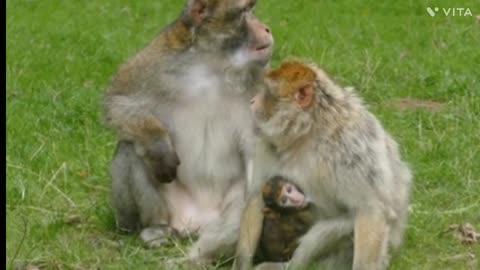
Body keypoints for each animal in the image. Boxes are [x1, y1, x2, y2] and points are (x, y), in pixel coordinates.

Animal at [102, 0, 272, 262]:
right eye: (246, 11)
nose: (266, 28)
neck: (213, 66)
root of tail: (195, 223)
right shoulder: (158, 58)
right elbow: (119, 101)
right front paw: (158, 145)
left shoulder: (261, 90)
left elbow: (258, 172)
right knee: (129, 148)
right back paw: (156, 228)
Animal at [235, 61, 412, 270]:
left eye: (267, 92)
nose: (252, 101)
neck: (308, 133)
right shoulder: (265, 141)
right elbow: (257, 195)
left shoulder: (351, 148)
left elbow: (370, 209)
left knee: (333, 230)